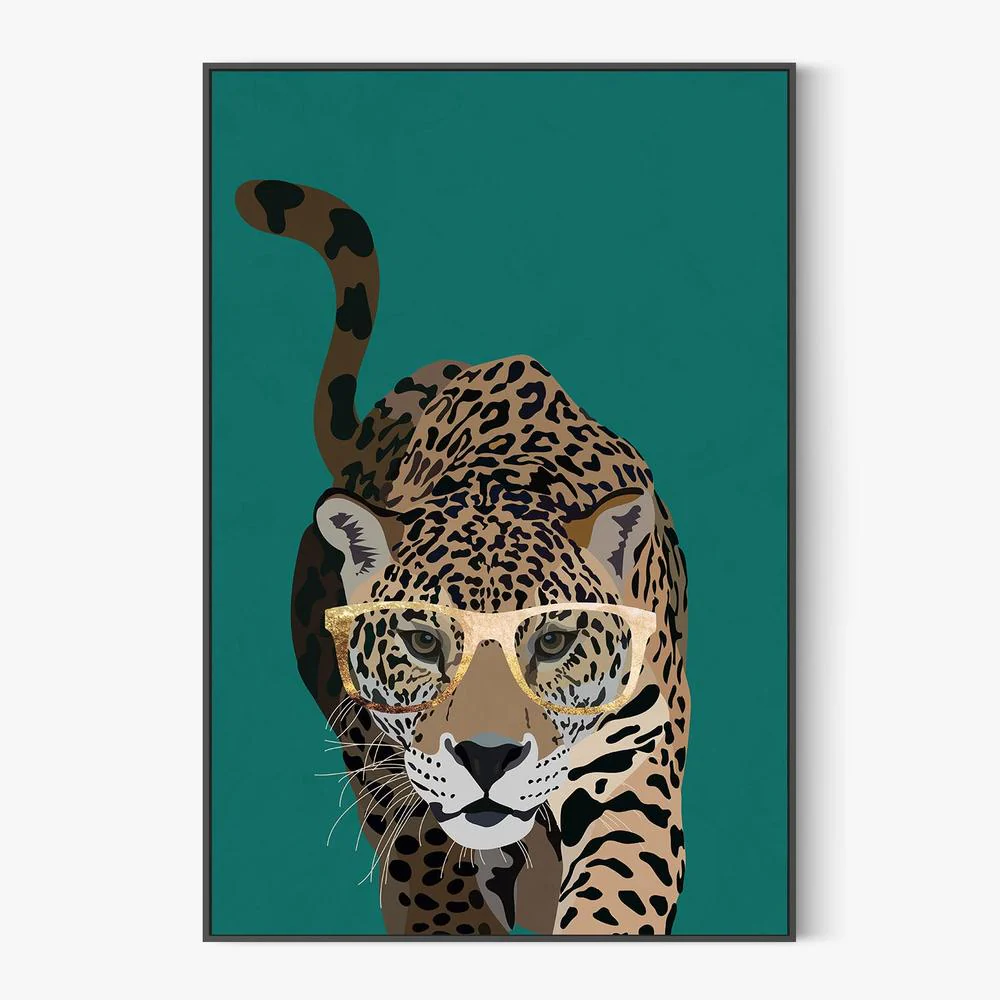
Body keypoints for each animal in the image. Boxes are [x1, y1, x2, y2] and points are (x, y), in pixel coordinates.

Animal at [235, 178, 690, 936]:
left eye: (554, 642)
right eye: (422, 642)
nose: (487, 756)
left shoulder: (635, 767)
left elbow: (616, 894)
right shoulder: (392, 770)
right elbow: (431, 876)